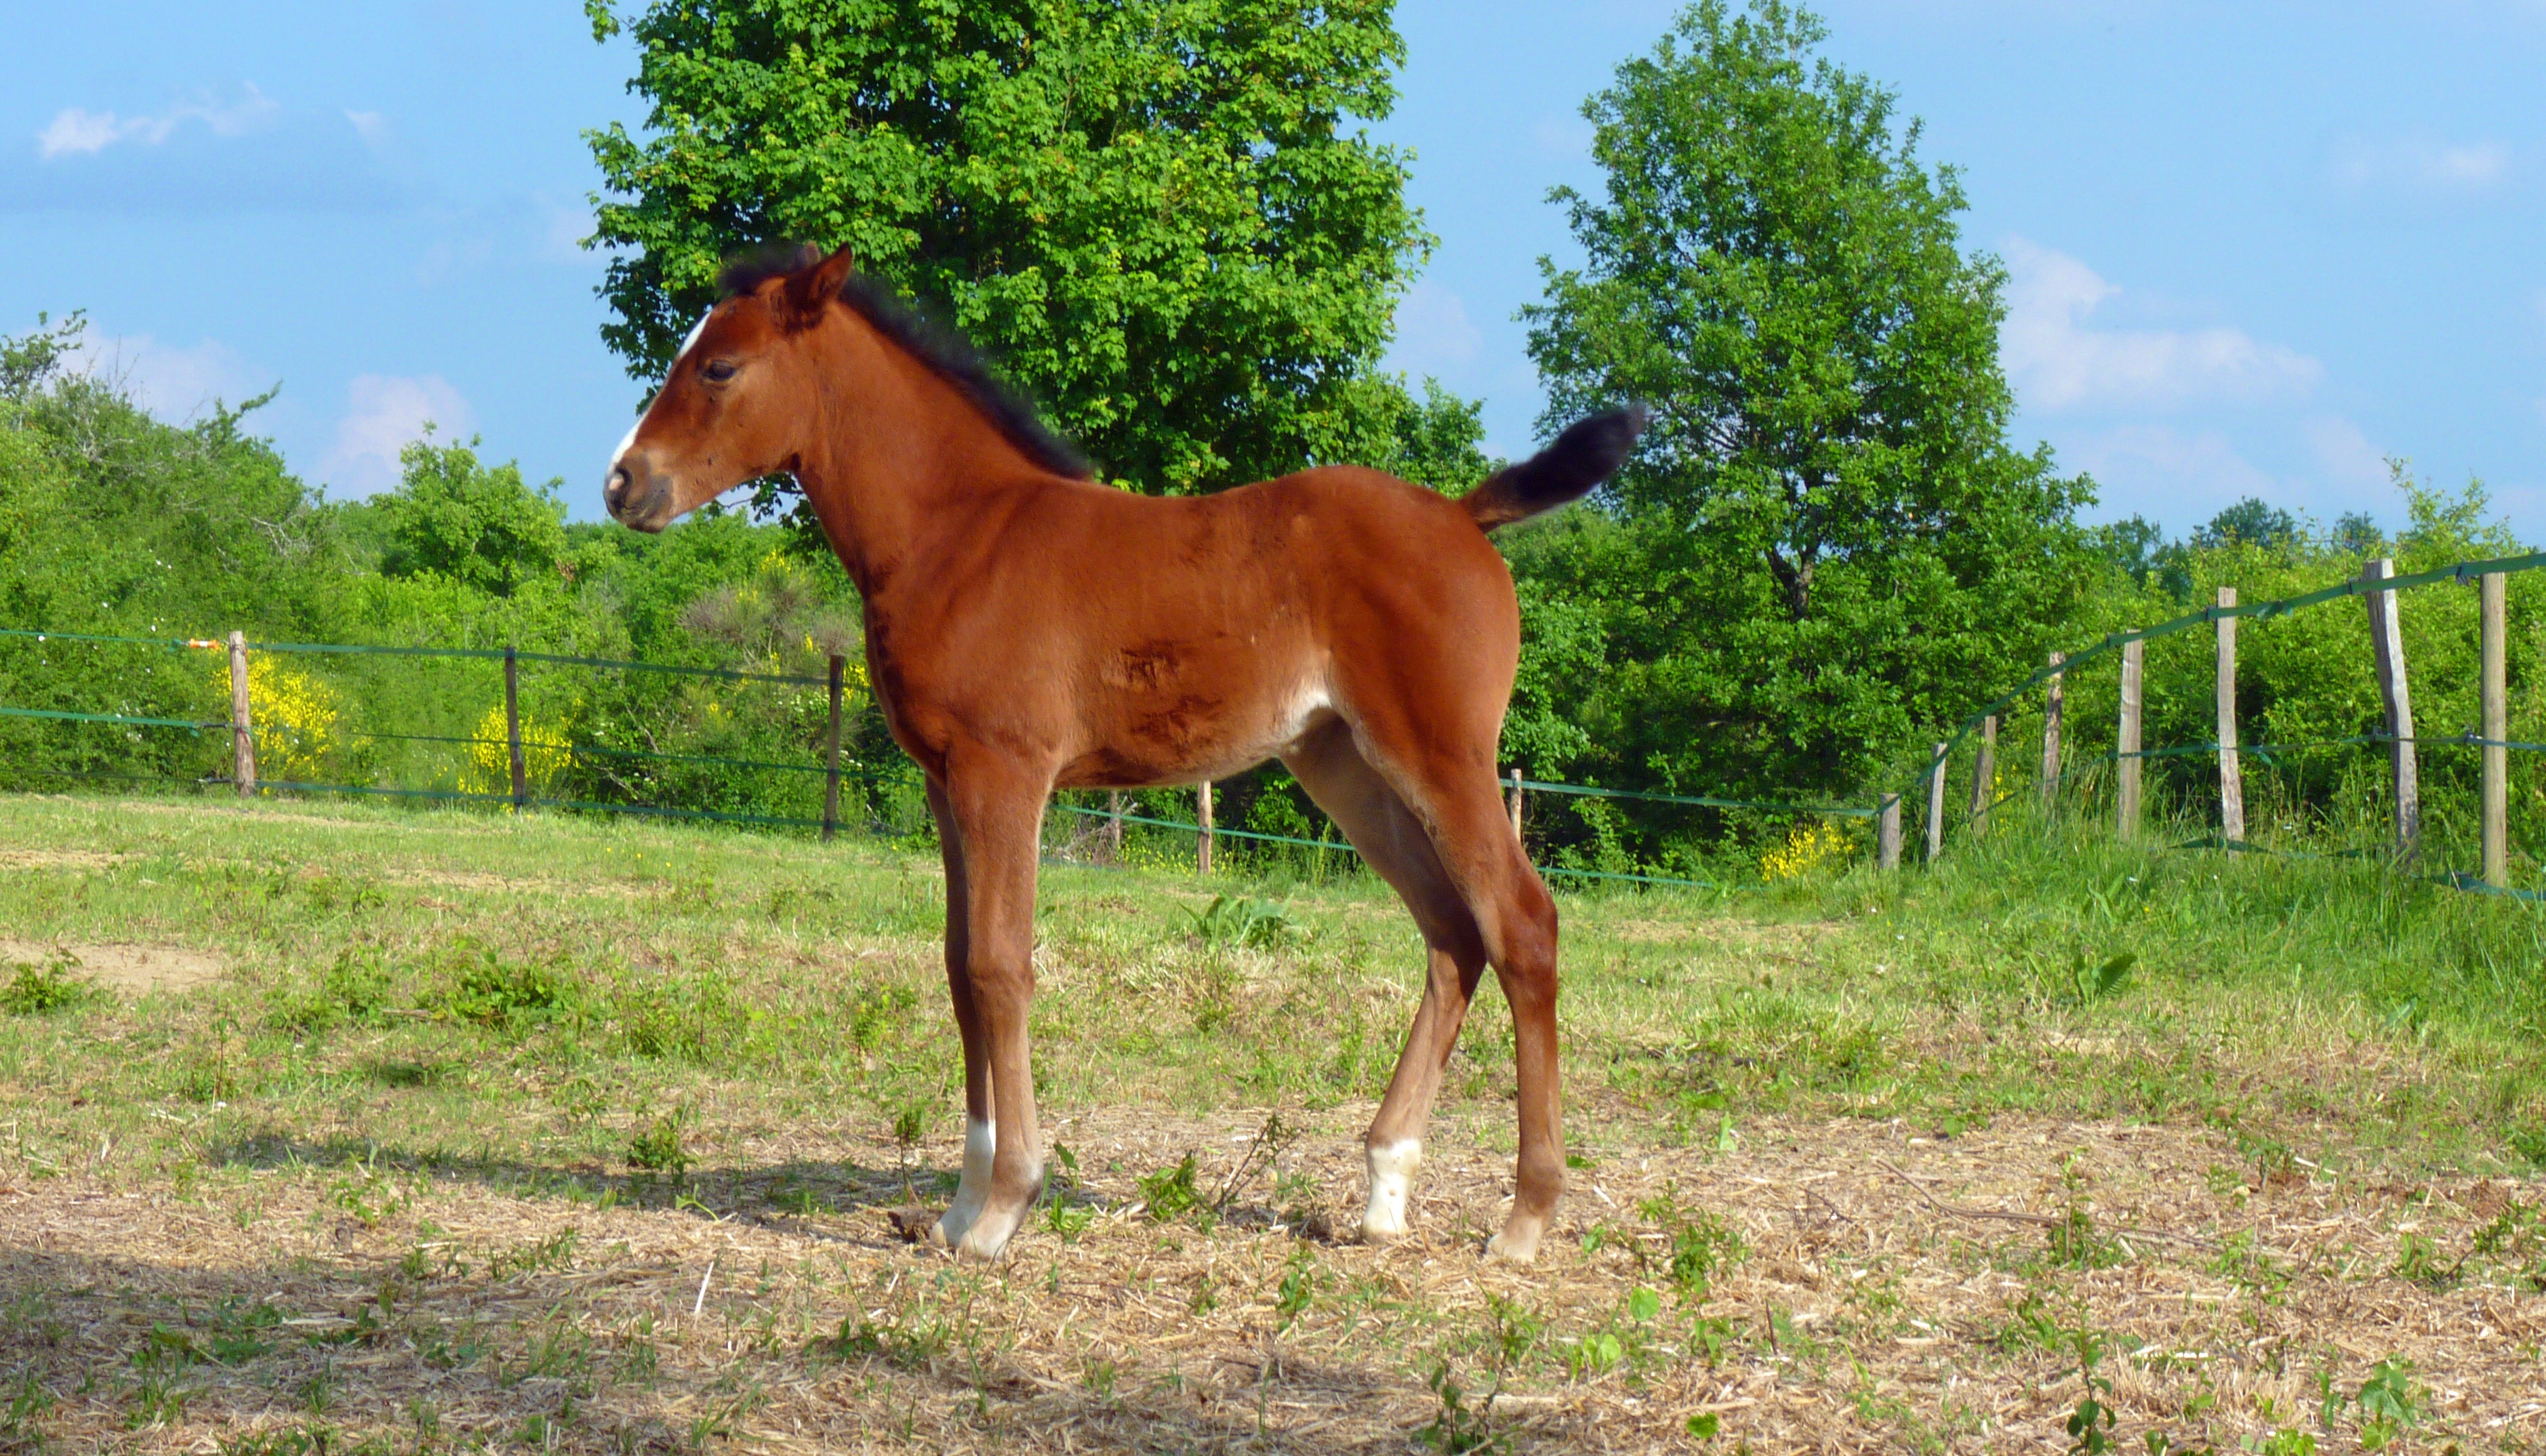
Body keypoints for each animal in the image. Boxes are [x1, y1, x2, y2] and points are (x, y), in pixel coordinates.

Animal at [604, 242, 1643, 1263]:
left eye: (720, 367)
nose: (622, 484)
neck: (958, 534)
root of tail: (1464, 515)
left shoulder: (1006, 775)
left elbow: (1001, 966)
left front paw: (1004, 1209)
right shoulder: (946, 782)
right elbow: (957, 967)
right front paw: (956, 1208)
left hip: (1441, 756)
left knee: (1521, 925)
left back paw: (1523, 1221)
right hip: (1344, 765)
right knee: (1452, 933)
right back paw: (1385, 1191)